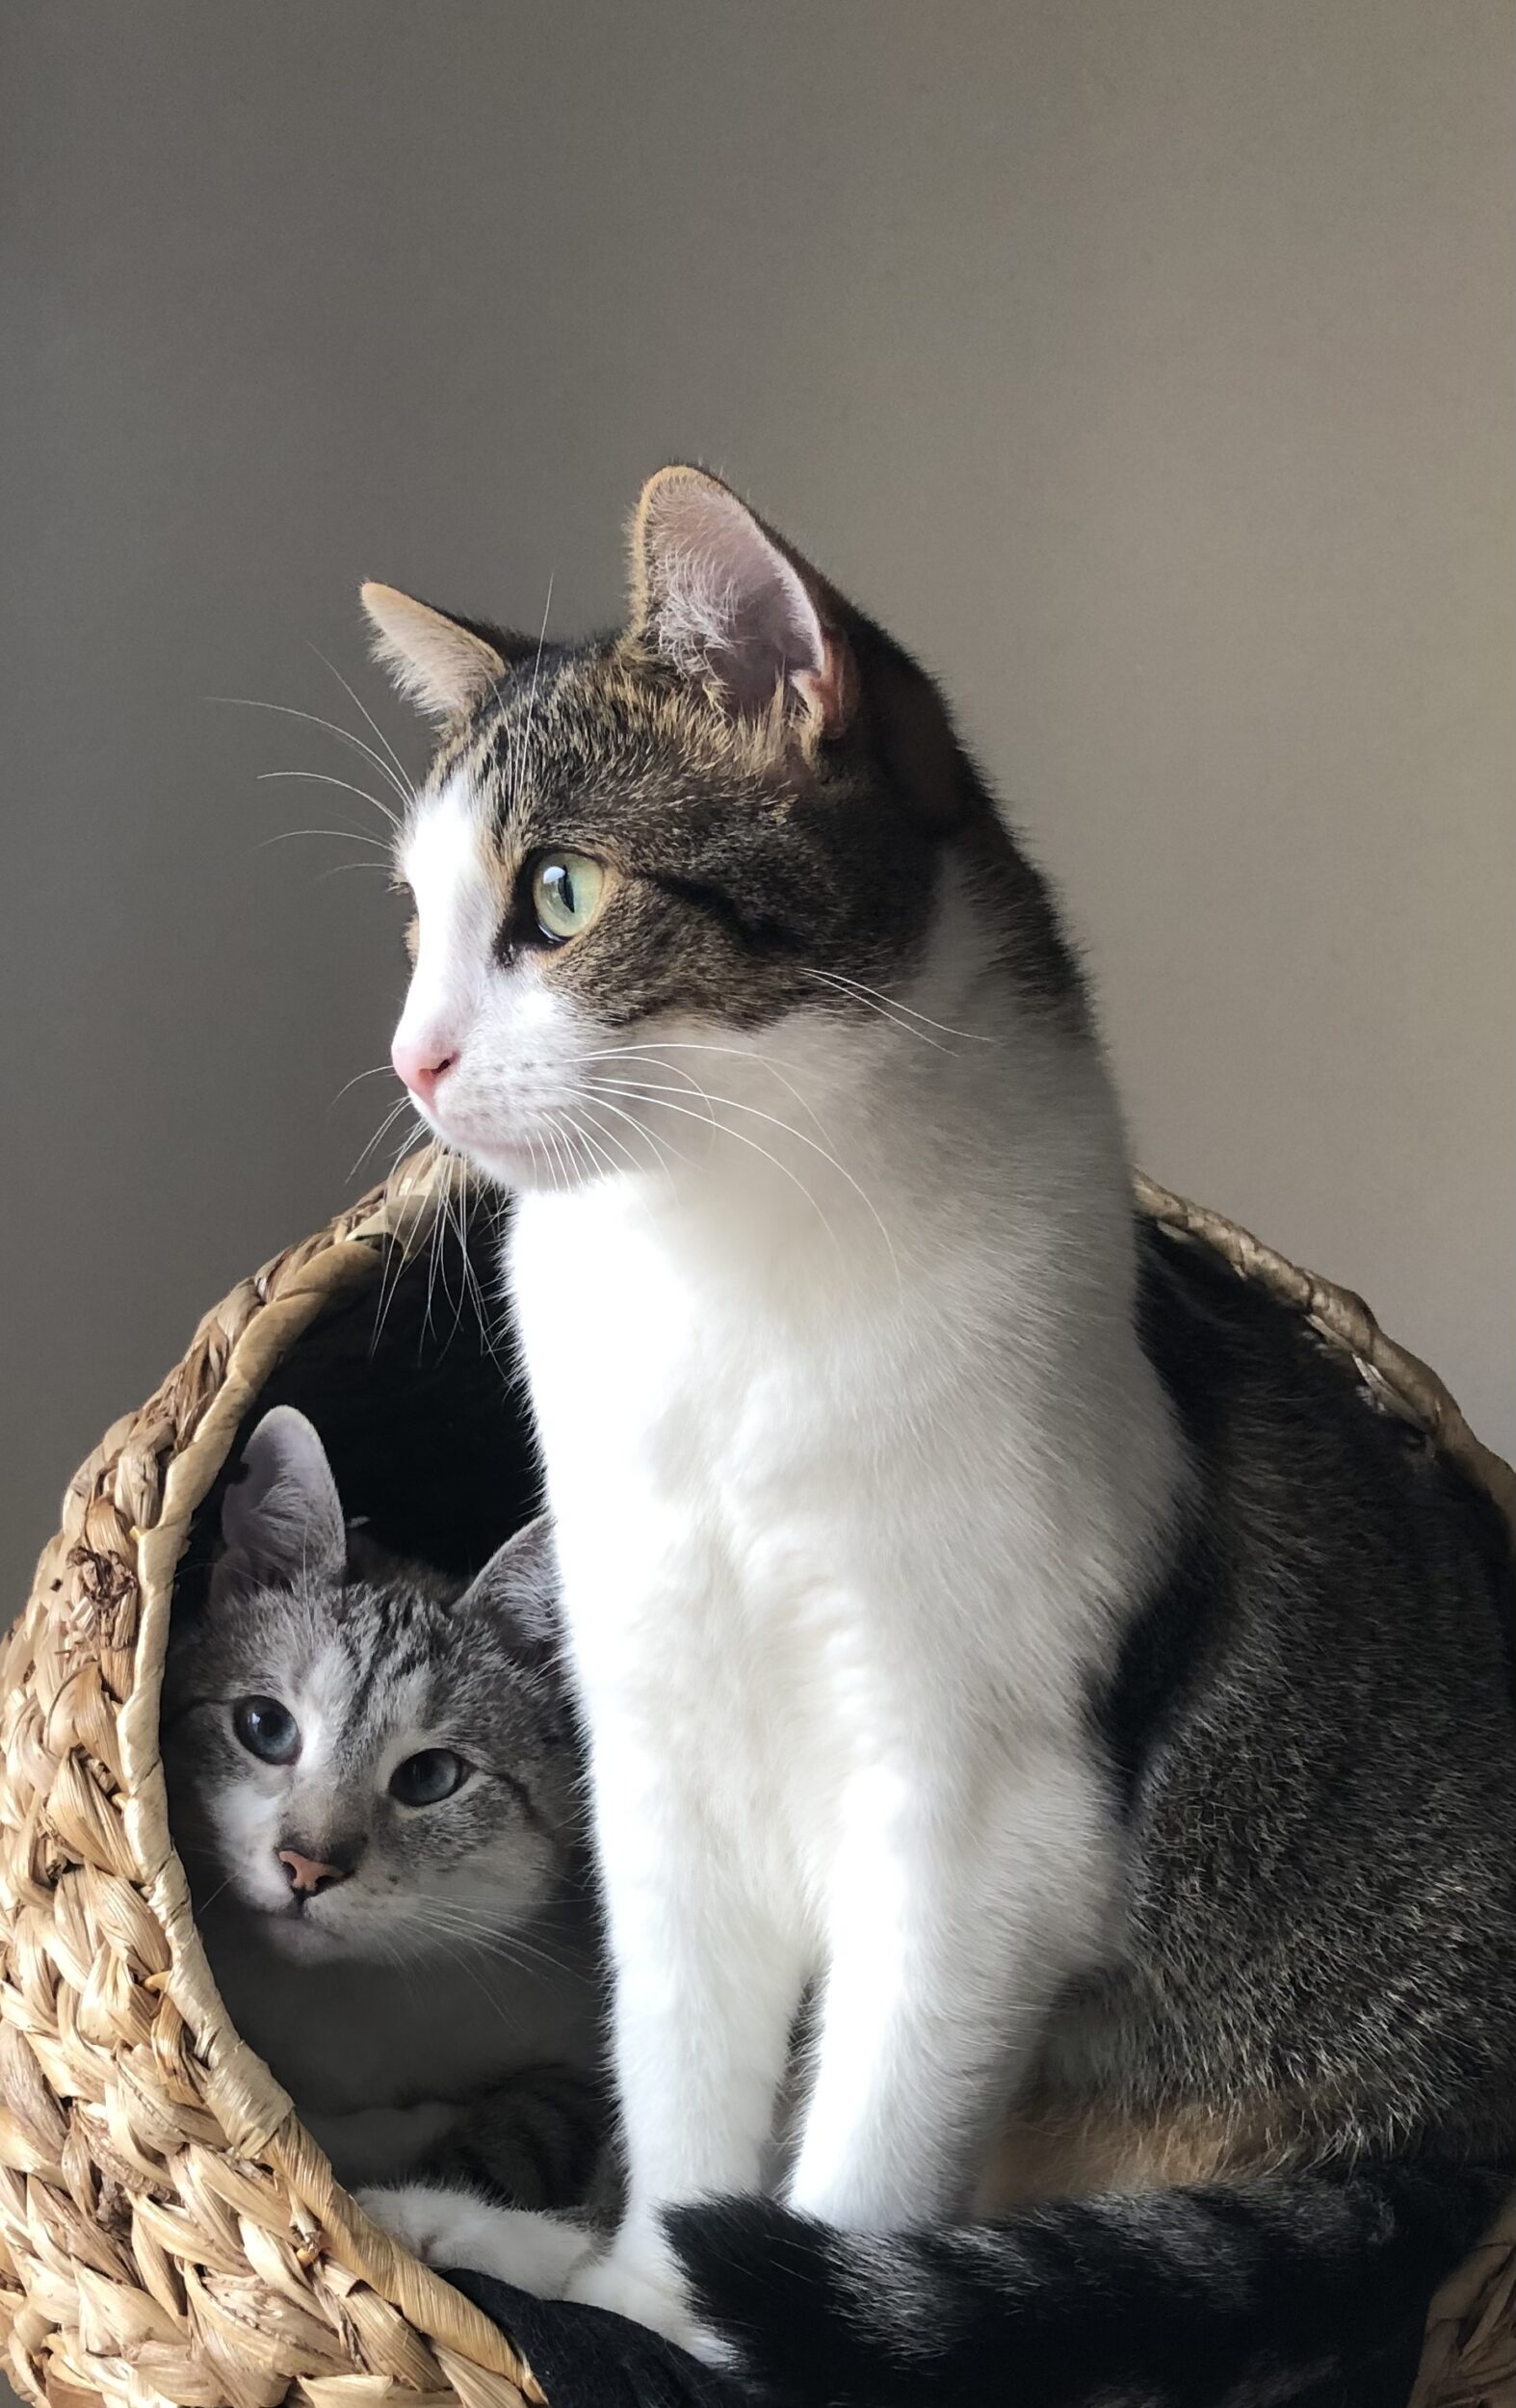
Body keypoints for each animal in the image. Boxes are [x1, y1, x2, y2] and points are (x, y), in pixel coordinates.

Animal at [352, 466, 1516, 2406]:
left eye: (558, 893)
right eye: (414, 919)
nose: (410, 1059)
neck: (715, 1279)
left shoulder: (978, 1822)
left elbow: (859, 2166)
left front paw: (728, 2342)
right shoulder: (661, 1754)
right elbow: (681, 2088)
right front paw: (630, 2292)